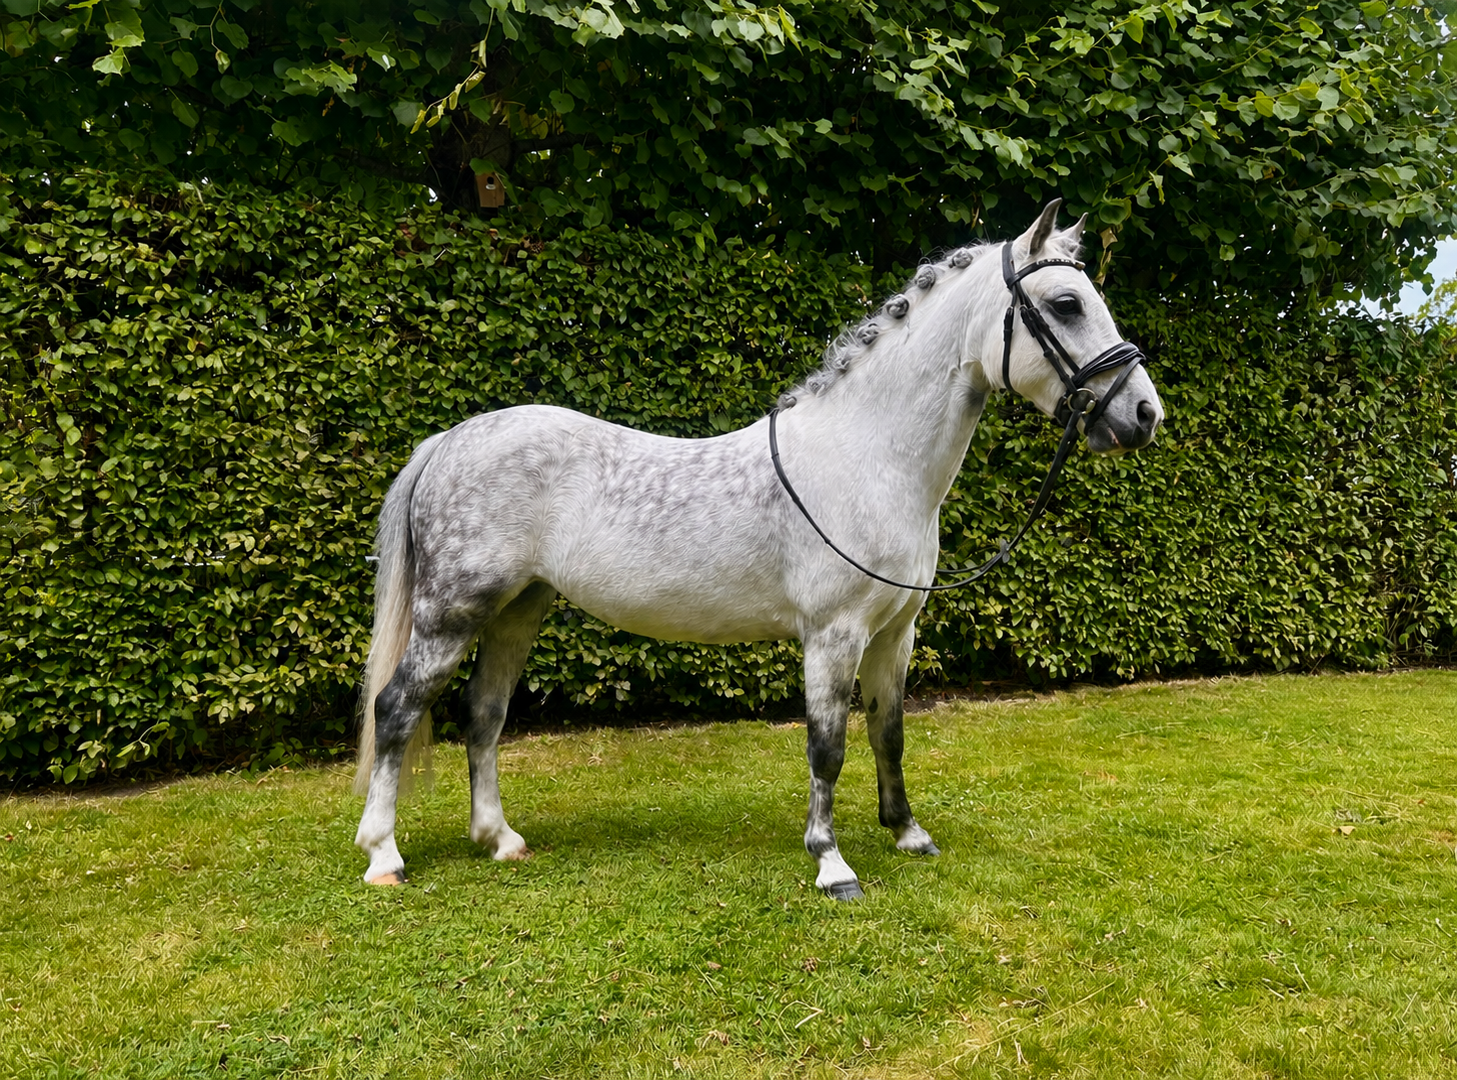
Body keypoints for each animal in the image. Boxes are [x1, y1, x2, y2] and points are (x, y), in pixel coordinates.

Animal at [353, 201, 1164, 899]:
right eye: (1067, 304)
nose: (1143, 414)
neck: (868, 457)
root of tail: (451, 440)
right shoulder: (832, 636)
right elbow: (826, 746)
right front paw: (831, 863)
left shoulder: (895, 633)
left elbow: (889, 732)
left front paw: (907, 834)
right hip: (453, 613)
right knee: (396, 708)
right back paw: (384, 855)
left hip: (518, 611)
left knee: (484, 714)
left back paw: (499, 839)